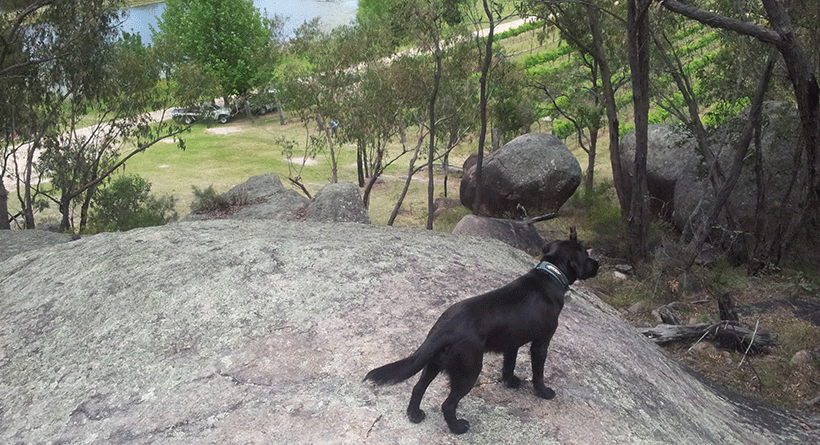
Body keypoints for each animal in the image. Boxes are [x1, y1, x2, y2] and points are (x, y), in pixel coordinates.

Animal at [366, 229, 596, 434]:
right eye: (586, 256)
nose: (599, 264)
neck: (550, 275)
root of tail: (444, 329)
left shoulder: (512, 343)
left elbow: (508, 365)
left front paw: (511, 382)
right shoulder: (541, 342)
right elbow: (538, 373)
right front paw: (543, 392)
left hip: (434, 363)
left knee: (418, 387)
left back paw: (415, 415)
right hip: (469, 370)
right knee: (448, 404)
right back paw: (458, 428)